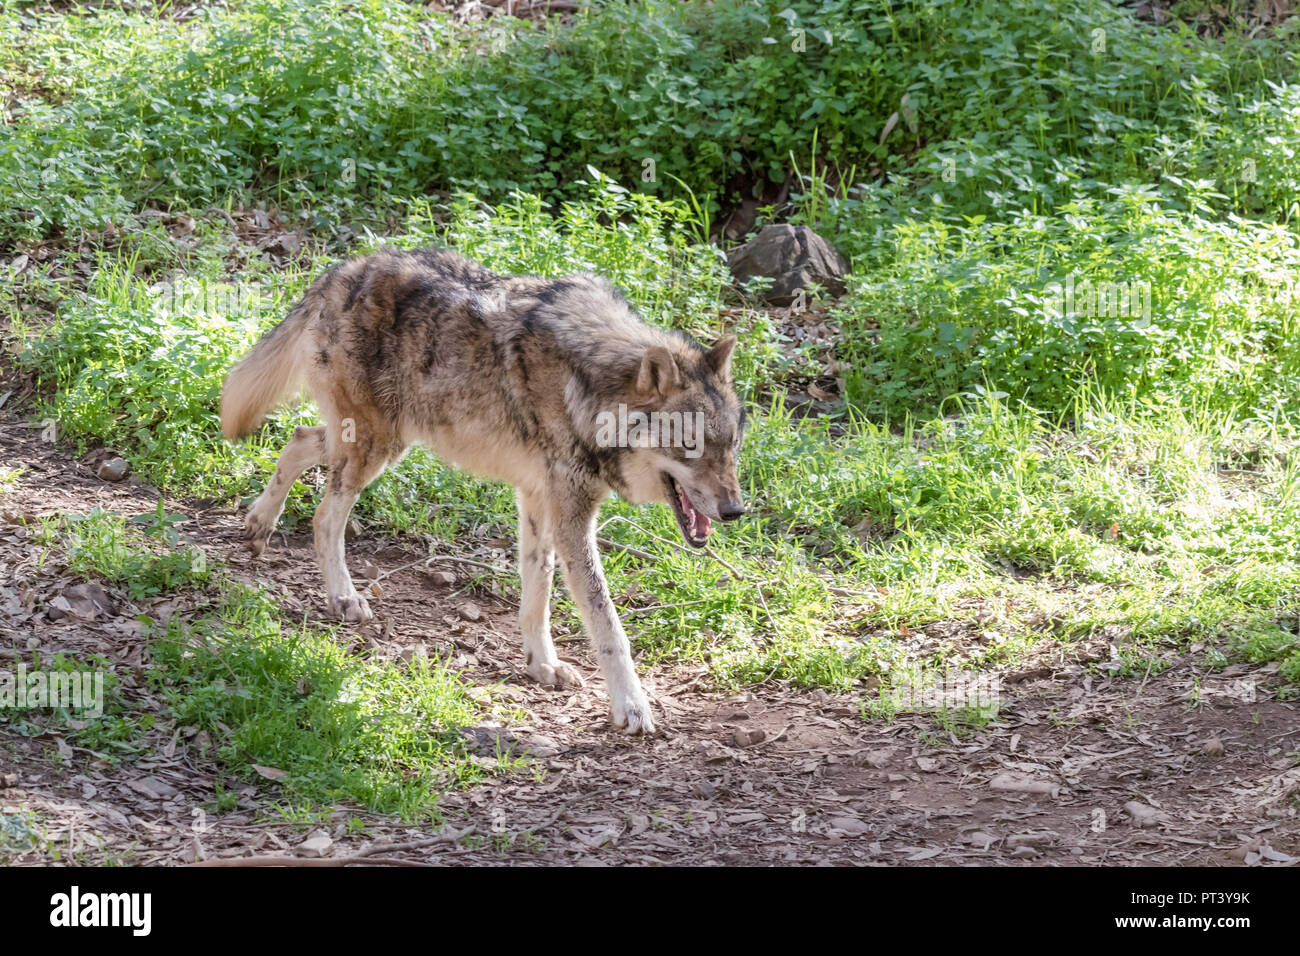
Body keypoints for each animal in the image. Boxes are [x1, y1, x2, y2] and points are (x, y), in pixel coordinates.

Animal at [218, 247, 743, 733]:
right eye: (691, 445)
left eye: (733, 444)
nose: (736, 511)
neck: (590, 387)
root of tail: (344, 270)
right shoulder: (572, 517)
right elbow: (608, 623)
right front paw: (631, 707)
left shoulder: (539, 501)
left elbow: (537, 595)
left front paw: (542, 666)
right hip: (374, 448)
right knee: (324, 516)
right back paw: (343, 598)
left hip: (376, 442)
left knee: (298, 438)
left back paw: (258, 525)